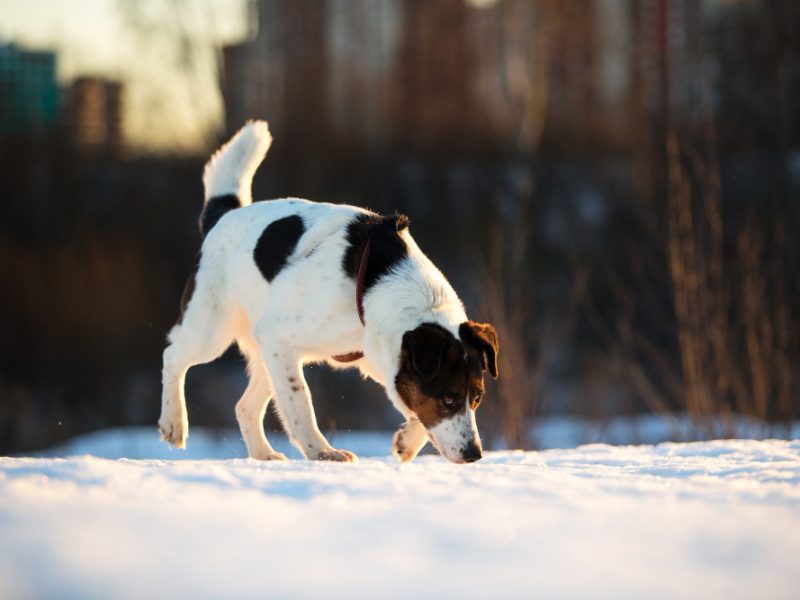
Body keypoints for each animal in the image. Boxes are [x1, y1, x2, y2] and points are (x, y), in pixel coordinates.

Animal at [158, 122, 500, 464]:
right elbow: (301, 403)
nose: (475, 454)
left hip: (267, 354)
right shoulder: (280, 336)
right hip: (213, 331)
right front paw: (322, 452)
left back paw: (263, 455)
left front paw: (406, 442)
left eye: (477, 398)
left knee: (244, 407)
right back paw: (174, 423)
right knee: (173, 354)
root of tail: (223, 216)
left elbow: (410, 404)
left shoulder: (371, 354)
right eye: (448, 398)